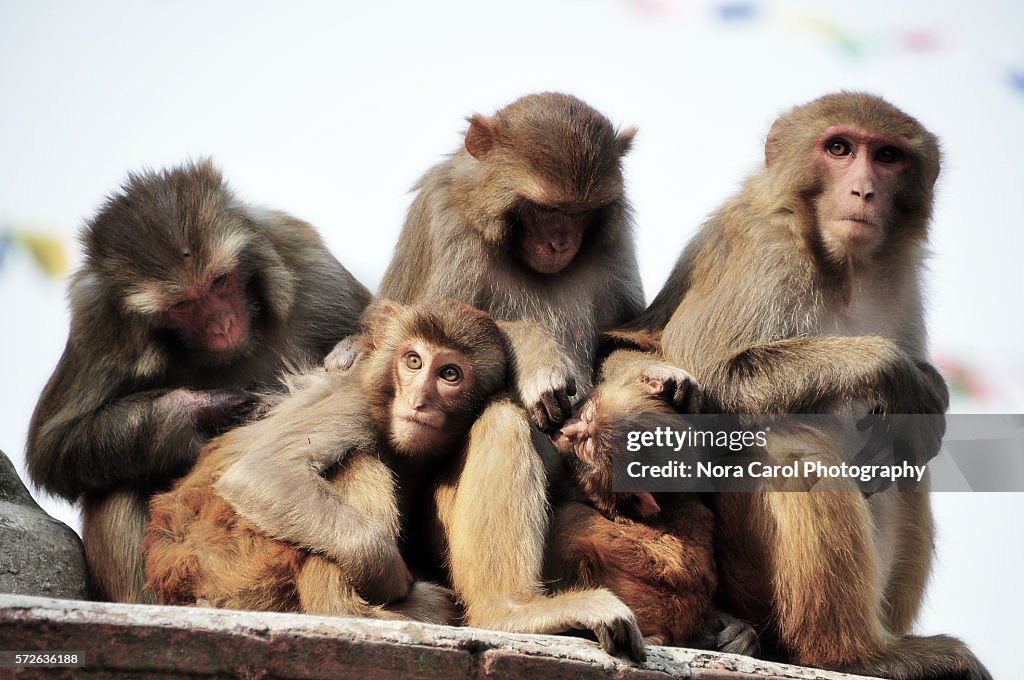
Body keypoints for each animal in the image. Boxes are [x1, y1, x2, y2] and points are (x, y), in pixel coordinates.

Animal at [25, 160, 372, 604]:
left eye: (221, 281)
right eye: (183, 305)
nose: (223, 325)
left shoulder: (307, 261)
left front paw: (350, 351)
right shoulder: (97, 320)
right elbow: (53, 448)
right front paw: (202, 411)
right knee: (114, 485)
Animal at [143, 299, 506, 623]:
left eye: (449, 374)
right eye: (414, 361)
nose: (417, 401)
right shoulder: (356, 404)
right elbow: (260, 473)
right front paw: (392, 578)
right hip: (233, 557)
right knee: (359, 463)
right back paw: (349, 610)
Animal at [218, 93, 699, 660]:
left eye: (579, 214)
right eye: (544, 211)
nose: (560, 243)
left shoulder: (614, 236)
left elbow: (612, 339)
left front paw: (654, 372)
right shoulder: (445, 222)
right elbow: (432, 319)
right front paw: (539, 355)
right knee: (501, 419)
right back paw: (515, 612)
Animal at [596, 93, 990, 679]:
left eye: (888, 156)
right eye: (839, 148)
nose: (864, 190)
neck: (844, 268)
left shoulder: (901, 282)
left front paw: (928, 391)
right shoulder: (766, 254)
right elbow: (706, 377)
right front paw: (893, 368)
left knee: (904, 462)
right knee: (791, 439)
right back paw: (856, 654)